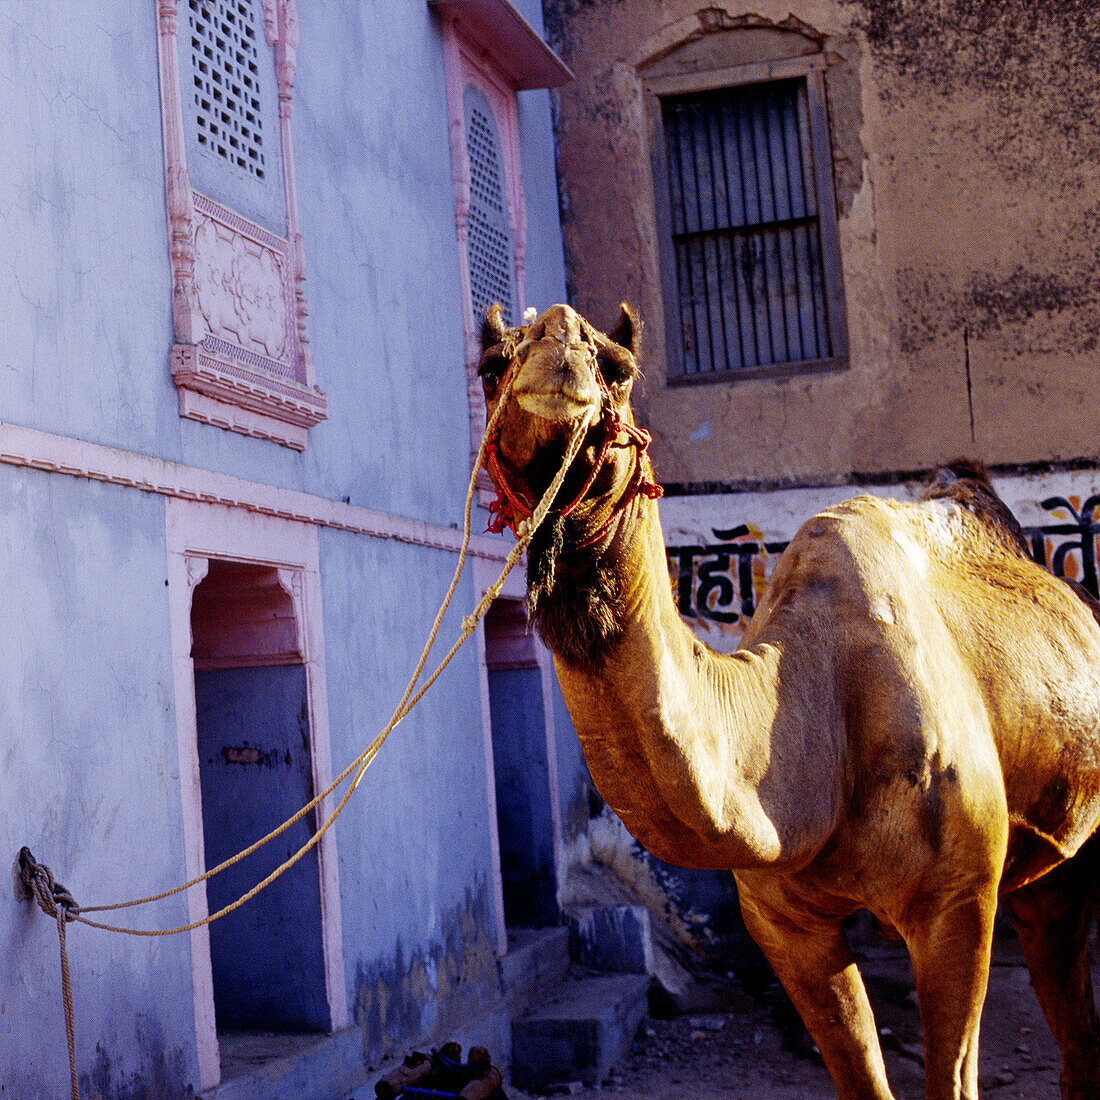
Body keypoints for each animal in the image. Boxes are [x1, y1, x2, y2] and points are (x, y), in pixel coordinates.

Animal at [481, 305, 1100, 1100]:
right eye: (490, 364)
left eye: (619, 367)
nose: (557, 344)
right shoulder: (781, 919)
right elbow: (860, 1078)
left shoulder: (957, 899)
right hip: (1043, 860)